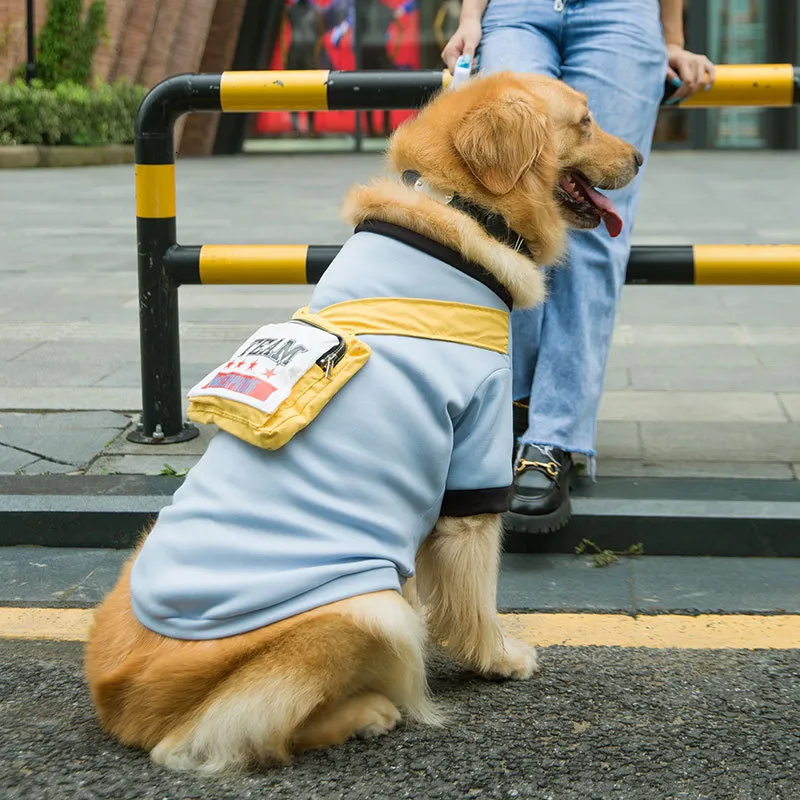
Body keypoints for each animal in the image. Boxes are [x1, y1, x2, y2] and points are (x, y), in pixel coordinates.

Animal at [84, 72, 640, 772]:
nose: (640, 157)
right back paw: (369, 713)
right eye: (586, 121)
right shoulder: (476, 454)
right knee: (232, 735)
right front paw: (499, 659)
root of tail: (122, 703)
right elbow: (477, 593)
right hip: (369, 609)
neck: (462, 208)